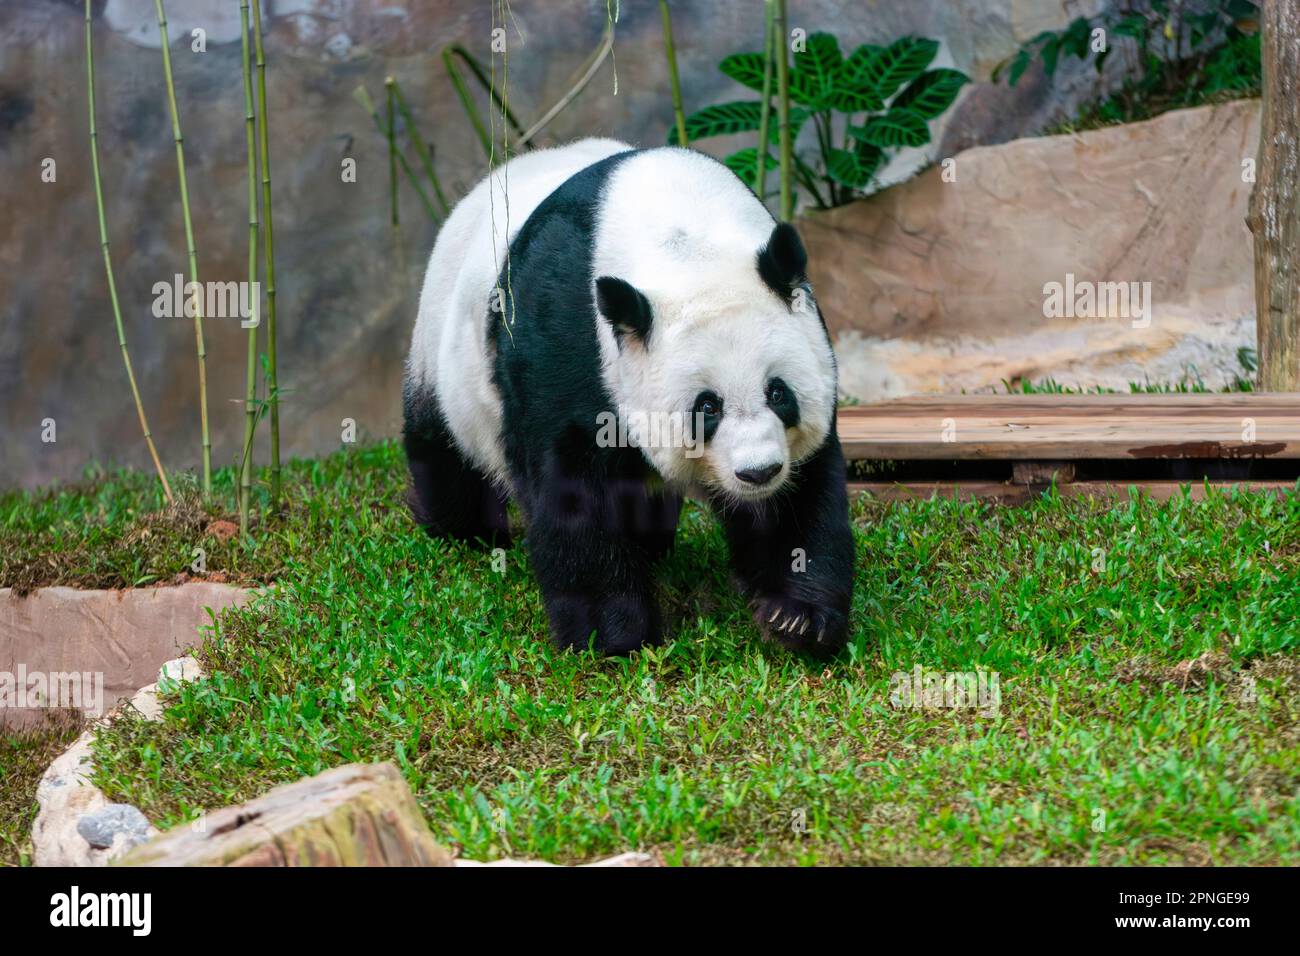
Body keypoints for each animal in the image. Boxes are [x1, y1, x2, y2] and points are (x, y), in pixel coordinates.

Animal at [403, 136, 852, 658]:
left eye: (778, 392)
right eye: (707, 407)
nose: (758, 472)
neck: (684, 241)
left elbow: (803, 493)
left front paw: (798, 618)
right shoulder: (565, 339)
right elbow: (572, 488)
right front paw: (614, 635)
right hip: (444, 351)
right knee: (443, 448)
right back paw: (462, 532)